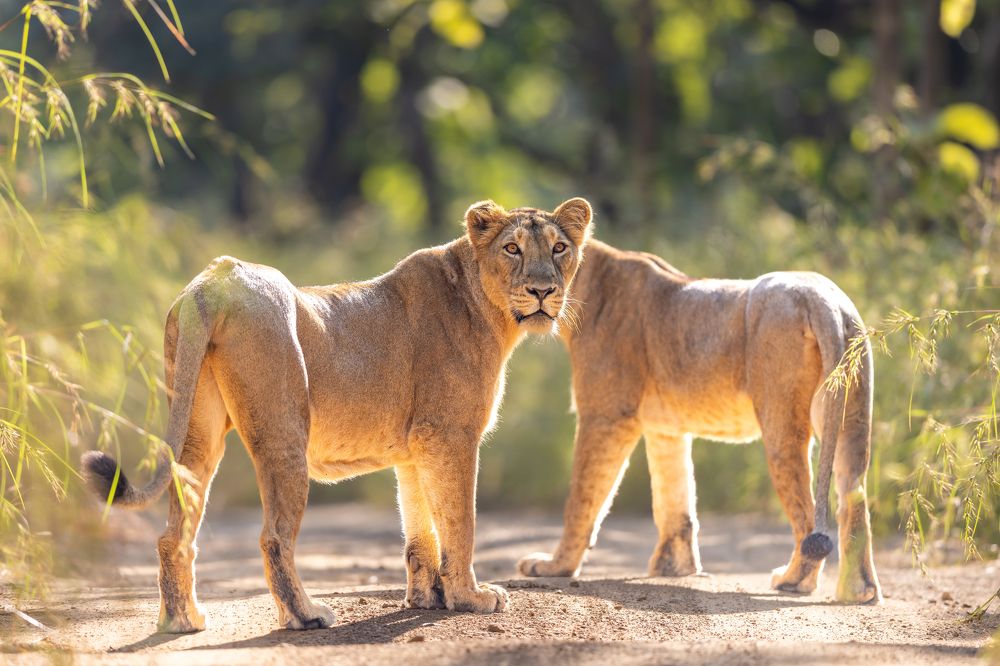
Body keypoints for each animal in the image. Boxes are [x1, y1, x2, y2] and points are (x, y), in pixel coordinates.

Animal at [82, 198, 593, 632]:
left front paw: (428, 598)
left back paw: (181, 620)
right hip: (285, 428)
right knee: (274, 535)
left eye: (560, 248)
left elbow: (421, 530)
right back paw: (305, 615)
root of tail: (214, 280)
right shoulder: (451, 435)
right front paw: (471, 598)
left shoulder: (417, 449)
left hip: (196, 427)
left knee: (175, 532)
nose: (543, 290)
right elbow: (460, 523)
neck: (489, 309)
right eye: (512, 248)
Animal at [517, 239, 882, 604]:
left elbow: (583, 497)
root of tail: (823, 297)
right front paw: (675, 568)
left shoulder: (606, 416)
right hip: (852, 416)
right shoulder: (665, 429)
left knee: (806, 514)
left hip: (782, 420)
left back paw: (793, 581)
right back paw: (859, 591)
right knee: (854, 499)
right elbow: (674, 499)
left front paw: (555, 566)